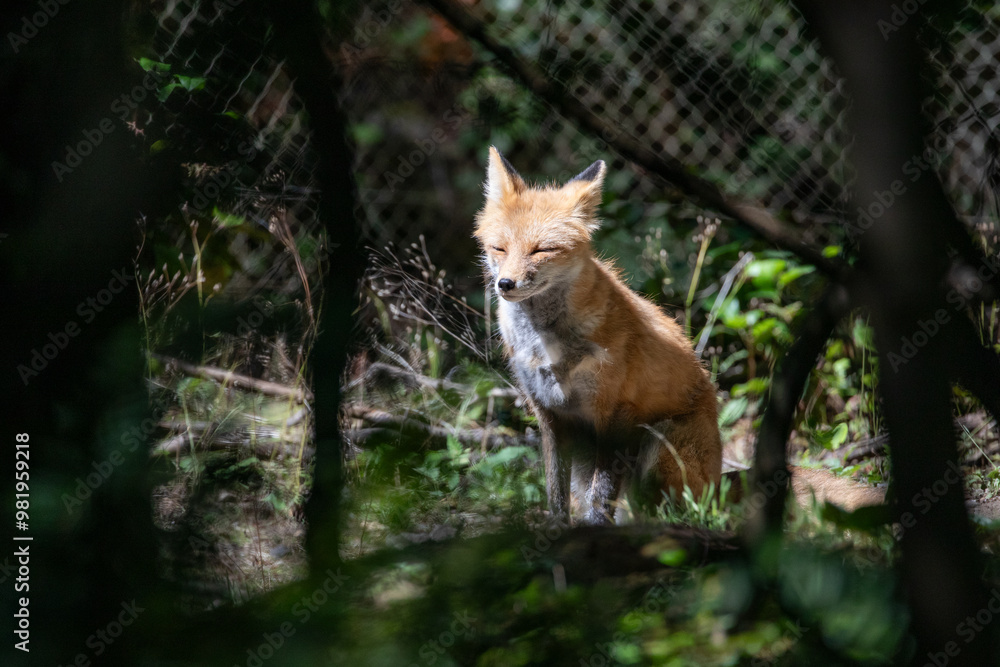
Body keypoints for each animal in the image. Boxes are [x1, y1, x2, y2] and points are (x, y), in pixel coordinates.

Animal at [474, 147, 723, 524]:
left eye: (541, 250)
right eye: (499, 248)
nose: (505, 284)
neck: (548, 344)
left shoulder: (614, 412)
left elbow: (601, 493)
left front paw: (592, 531)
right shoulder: (549, 414)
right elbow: (556, 491)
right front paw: (557, 528)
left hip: (659, 445)